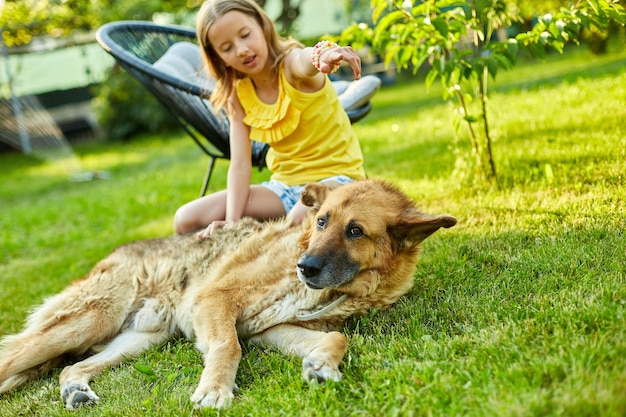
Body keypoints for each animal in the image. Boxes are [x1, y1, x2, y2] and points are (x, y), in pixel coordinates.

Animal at [0, 177, 454, 408]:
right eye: (322, 221)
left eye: (355, 230)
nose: (305, 267)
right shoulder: (215, 301)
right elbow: (228, 346)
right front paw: (215, 389)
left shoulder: (269, 329)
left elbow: (336, 337)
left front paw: (321, 365)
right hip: (89, 319)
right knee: (12, 357)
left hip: (138, 339)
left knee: (70, 368)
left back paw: (75, 390)